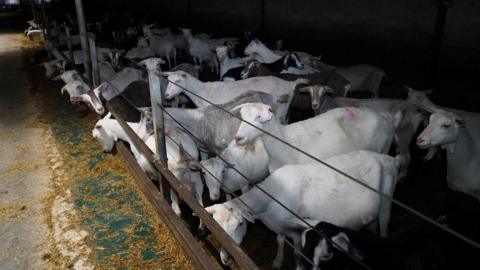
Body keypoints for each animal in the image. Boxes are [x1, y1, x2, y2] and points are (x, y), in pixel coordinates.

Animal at [208, 150, 400, 268]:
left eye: (240, 224)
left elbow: (297, 252)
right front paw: (277, 261)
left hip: (387, 200)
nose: (226, 257)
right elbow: (279, 240)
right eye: (216, 225)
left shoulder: (297, 230)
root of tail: (388, 159)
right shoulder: (279, 226)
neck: (271, 198)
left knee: (384, 225)